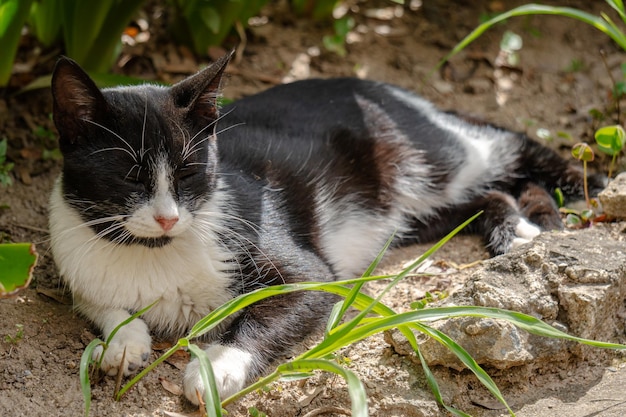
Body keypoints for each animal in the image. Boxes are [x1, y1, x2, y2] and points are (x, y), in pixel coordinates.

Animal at [46, 52, 604, 404]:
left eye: (188, 172)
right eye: (129, 175)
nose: (168, 217)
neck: (151, 249)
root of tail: (378, 84)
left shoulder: (304, 266)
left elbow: (276, 307)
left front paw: (215, 367)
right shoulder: (76, 259)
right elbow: (99, 302)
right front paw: (124, 344)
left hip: (437, 154)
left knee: (507, 146)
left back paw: (577, 190)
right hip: (409, 212)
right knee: (482, 197)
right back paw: (514, 224)